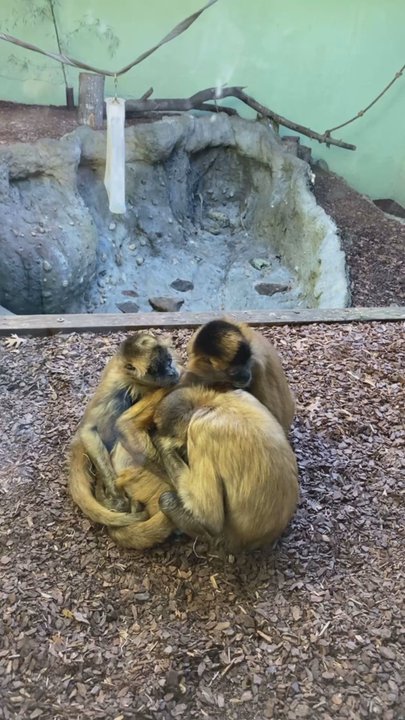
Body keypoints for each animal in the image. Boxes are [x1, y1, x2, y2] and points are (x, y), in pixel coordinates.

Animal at [68, 332, 180, 527]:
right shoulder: (116, 382)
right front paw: (115, 494)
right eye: (154, 370)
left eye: (168, 361)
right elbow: (88, 429)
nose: (171, 372)